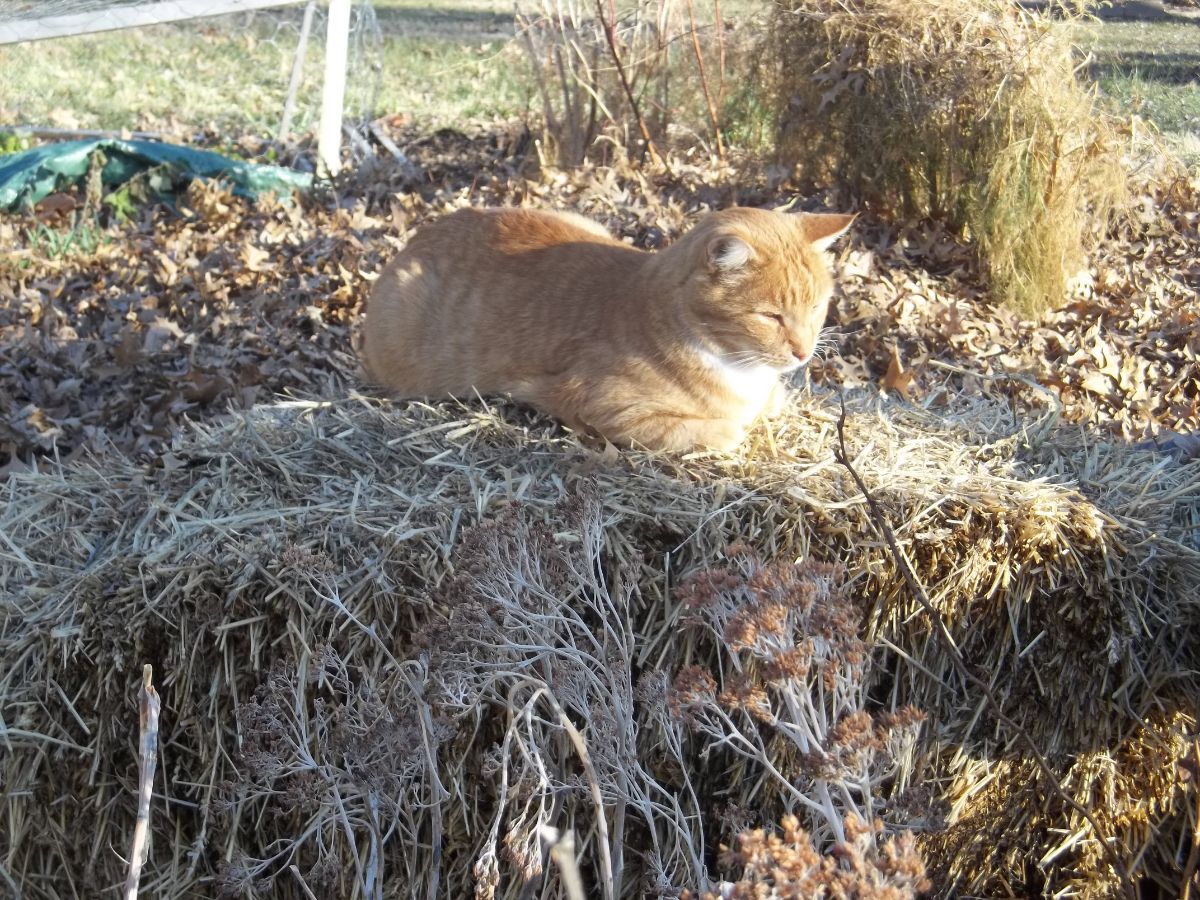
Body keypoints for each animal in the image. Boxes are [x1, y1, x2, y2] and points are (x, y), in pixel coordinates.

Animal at [357, 204, 854, 451]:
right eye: (770, 316)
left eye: (817, 307)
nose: (803, 352)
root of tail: (417, 239)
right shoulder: (594, 403)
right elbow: (715, 431)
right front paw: (727, 427)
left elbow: (774, 401)